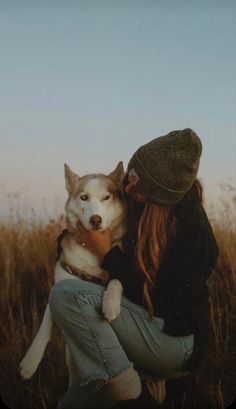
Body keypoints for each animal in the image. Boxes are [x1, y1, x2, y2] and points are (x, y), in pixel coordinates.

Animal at [19, 162, 126, 382]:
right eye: (84, 197)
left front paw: (110, 304)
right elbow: (45, 324)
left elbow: (116, 280)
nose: (95, 220)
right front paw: (30, 361)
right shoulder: (61, 284)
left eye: (107, 197)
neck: (92, 252)